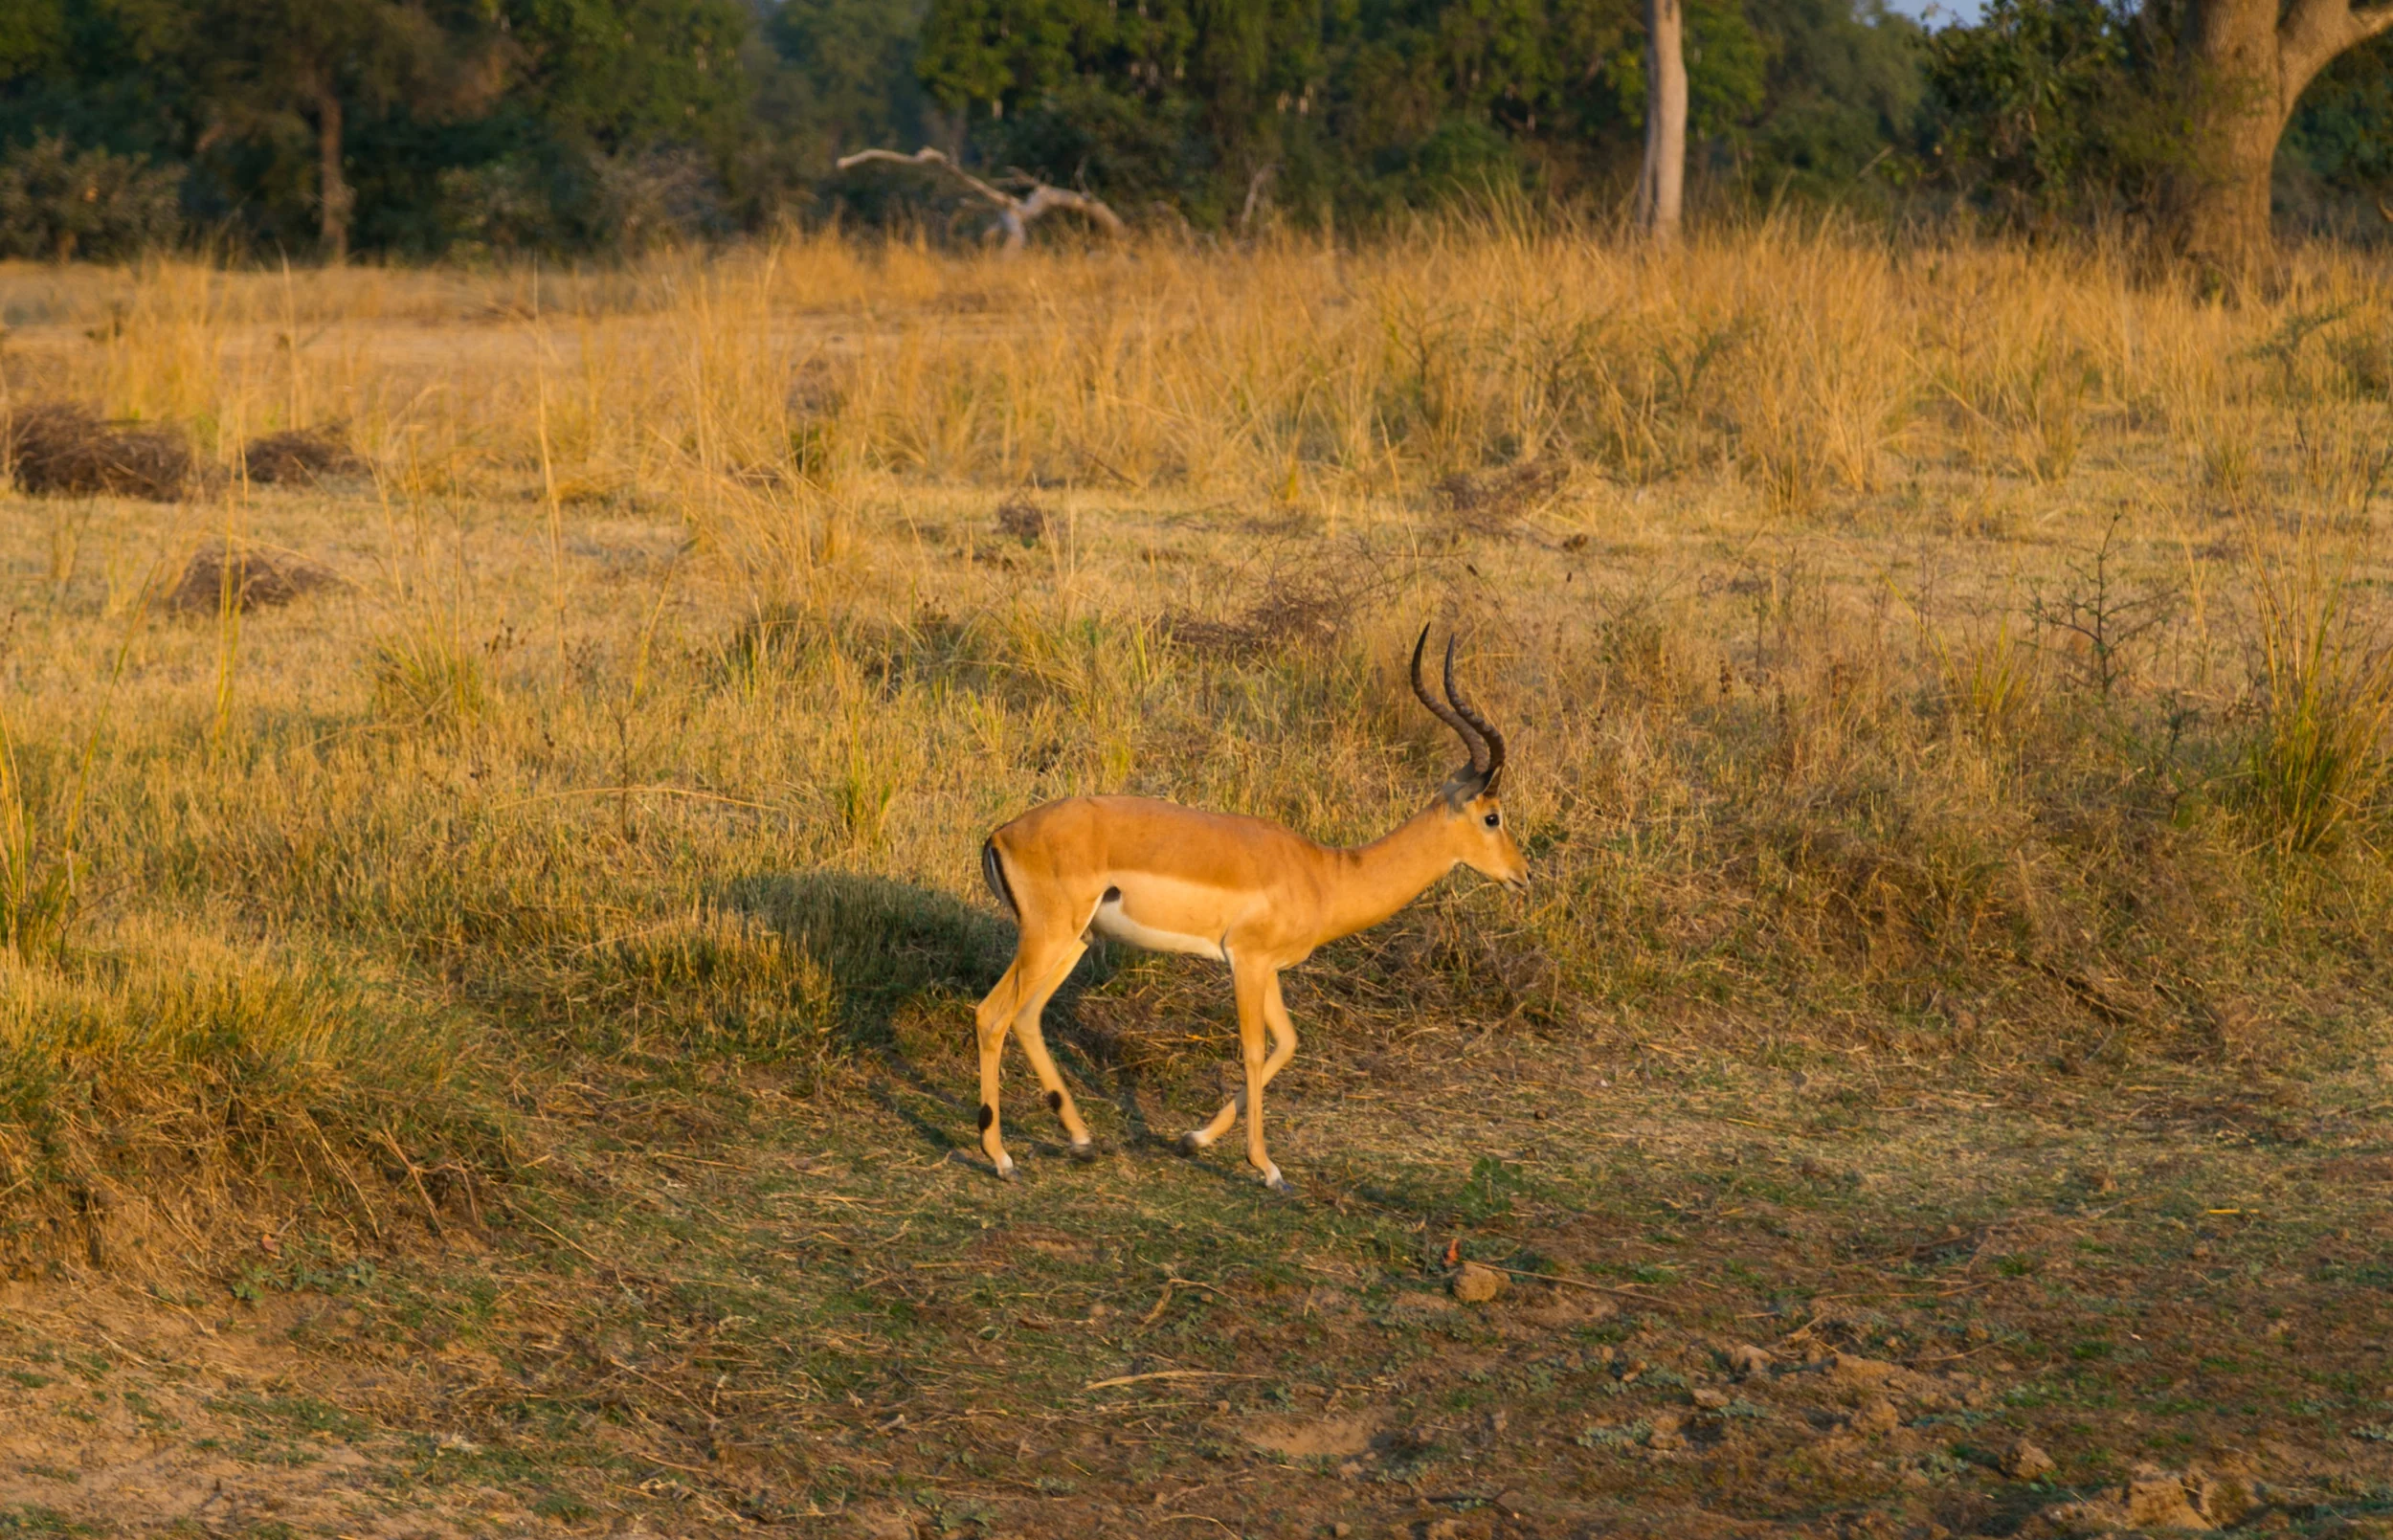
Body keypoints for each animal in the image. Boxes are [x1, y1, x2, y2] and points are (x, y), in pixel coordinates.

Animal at [972, 626, 1526, 1193]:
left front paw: (1193, 1140)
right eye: (1493, 817)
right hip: (1047, 939)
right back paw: (1001, 1157)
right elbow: (1255, 1051)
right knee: (991, 1015)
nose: (1522, 875)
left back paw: (1082, 1142)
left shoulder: (1270, 968)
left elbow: (1288, 1044)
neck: (1326, 874)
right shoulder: (1246, 962)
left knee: (1026, 1017)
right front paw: (1266, 1167)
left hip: (1073, 943)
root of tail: (1002, 834)